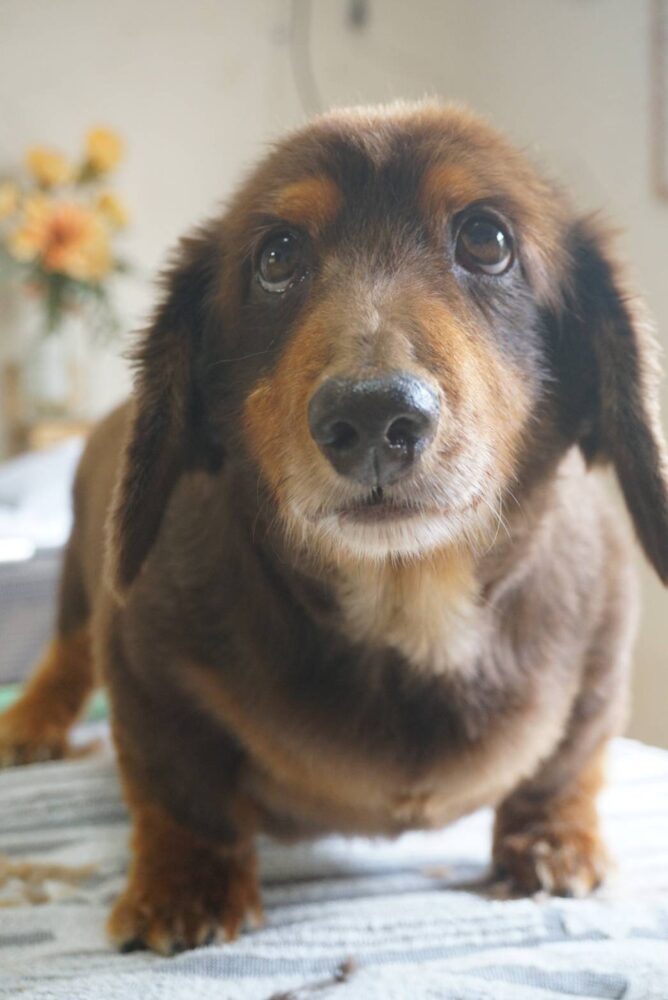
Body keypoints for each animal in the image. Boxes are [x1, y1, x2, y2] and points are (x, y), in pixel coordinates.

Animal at [1, 102, 666, 955]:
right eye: (277, 254)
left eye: (488, 240)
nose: (374, 416)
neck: (407, 606)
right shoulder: (142, 661)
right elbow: (178, 787)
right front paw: (184, 887)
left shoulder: (600, 657)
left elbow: (569, 762)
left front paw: (552, 842)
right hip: (82, 595)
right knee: (64, 655)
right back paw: (31, 723)